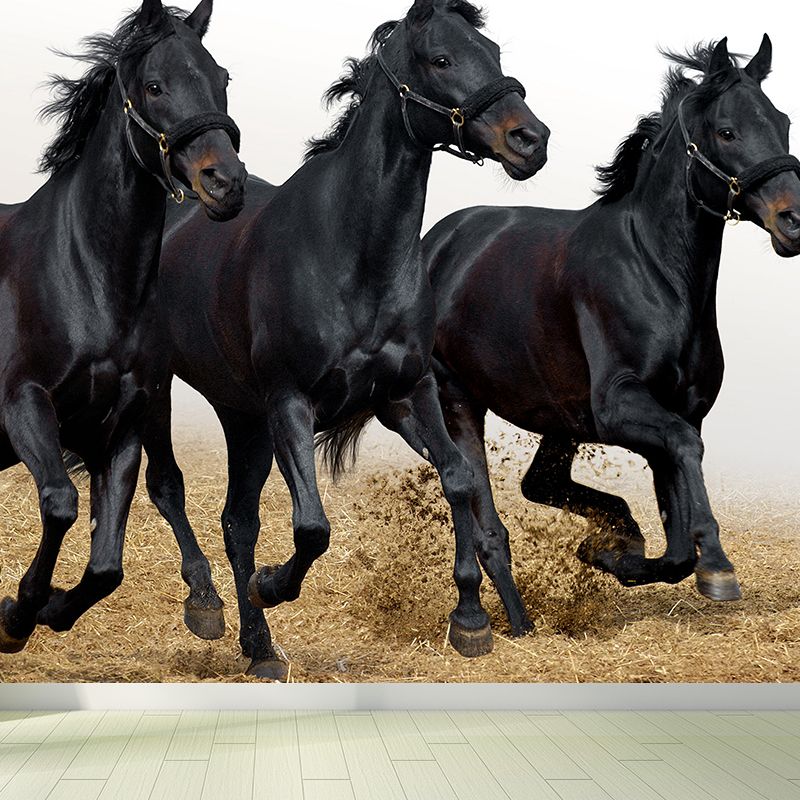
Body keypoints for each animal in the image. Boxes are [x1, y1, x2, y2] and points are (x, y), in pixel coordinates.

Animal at [0, 0, 246, 654]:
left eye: (222, 79)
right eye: (155, 86)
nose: (226, 184)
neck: (87, 278)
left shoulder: (123, 425)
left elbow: (107, 565)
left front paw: (51, 608)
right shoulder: (23, 403)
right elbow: (61, 502)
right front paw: (18, 612)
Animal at [146, 0, 548, 679]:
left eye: (493, 53)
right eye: (441, 58)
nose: (531, 140)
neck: (353, 254)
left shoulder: (407, 393)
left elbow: (459, 479)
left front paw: (470, 619)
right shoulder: (291, 405)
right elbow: (312, 527)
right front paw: (271, 584)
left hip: (241, 414)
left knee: (237, 521)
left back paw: (259, 650)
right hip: (155, 386)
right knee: (168, 488)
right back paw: (208, 606)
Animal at [417, 35, 800, 635]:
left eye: (782, 122)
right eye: (727, 131)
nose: (794, 220)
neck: (655, 273)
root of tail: (435, 244)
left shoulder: (675, 413)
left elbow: (676, 541)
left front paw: (609, 553)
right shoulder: (622, 406)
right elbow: (686, 462)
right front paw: (717, 566)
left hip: (558, 419)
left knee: (539, 485)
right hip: (459, 401)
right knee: (485, 518)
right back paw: (502, 623)